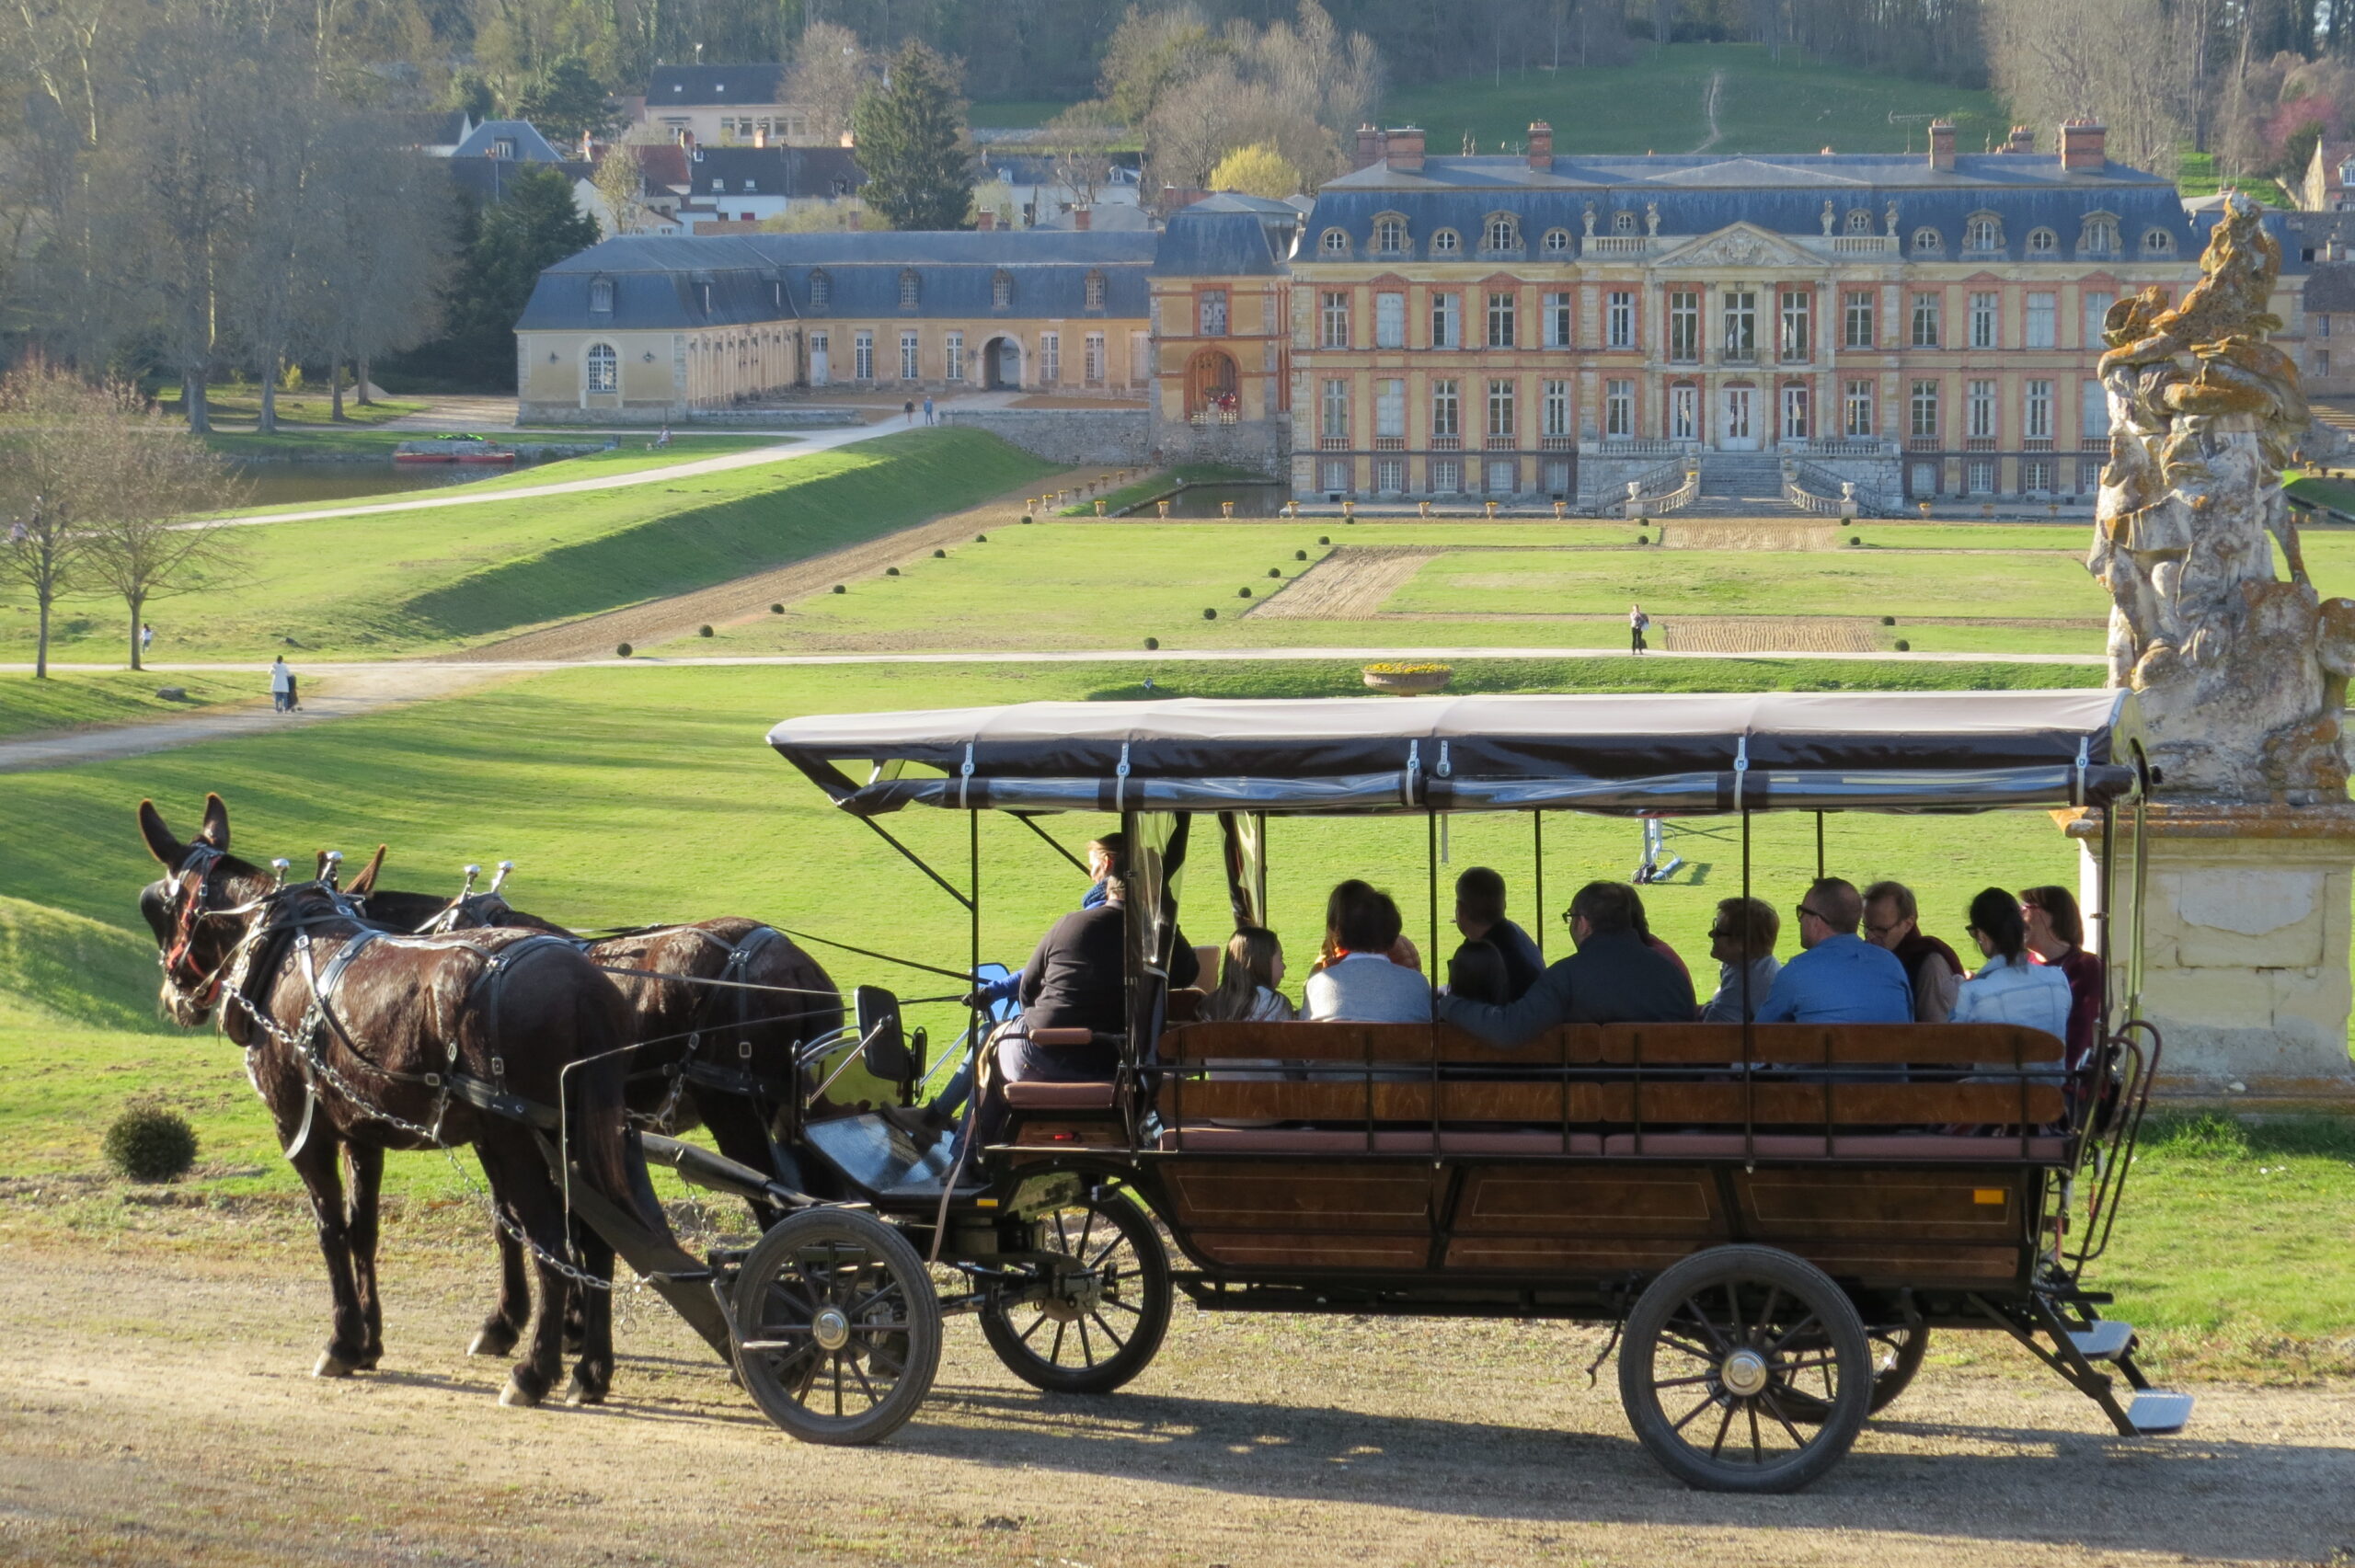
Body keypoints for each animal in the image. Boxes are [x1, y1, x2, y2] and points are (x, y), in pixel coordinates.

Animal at [137, 795, 663, 1402]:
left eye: (158, 906)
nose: (173, 997)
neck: (284, 952)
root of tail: (584, 984)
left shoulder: (303, 1132)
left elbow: (331, 1232)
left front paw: (342, 1341)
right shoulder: (362, 1135)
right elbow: (363, 1232)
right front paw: (369, 1342)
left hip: (520, 1140)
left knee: (554, 1243)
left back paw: (535, 1371)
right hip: (580, 1134)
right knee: (598, 1242)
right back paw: (591, 1370)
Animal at [331, 861, 847, 1346]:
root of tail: (795, 966)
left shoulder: (500, 1127)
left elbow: (513, 1220)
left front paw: (512, 1323)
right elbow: (575, 1223)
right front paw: (574, 1322)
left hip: (736, 1113)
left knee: (781, 1213)